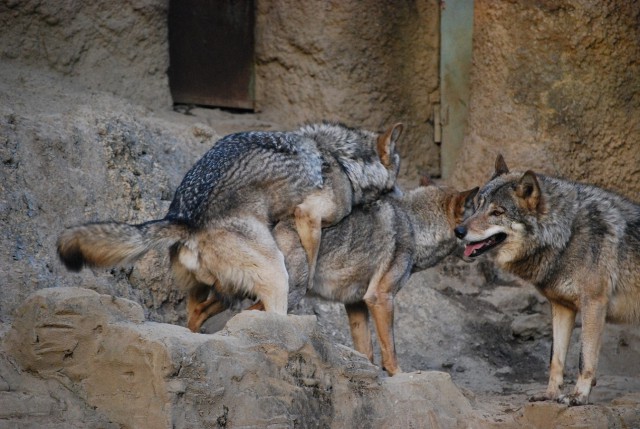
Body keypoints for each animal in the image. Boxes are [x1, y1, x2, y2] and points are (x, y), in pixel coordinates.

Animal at [57, 120, 402, 318]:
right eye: (399, 167)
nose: (400, 191)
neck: (342, 160)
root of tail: (183, 218)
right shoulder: (309, 214)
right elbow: (313, 256)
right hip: (276, 274)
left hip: (206, 289)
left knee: (195, 315)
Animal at [189, 177, 476, 374]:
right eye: (477, 213)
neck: (415, 226)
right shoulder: (380, 298)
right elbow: (390, 350)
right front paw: (399, 376)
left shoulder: (356, 304)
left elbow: (367, 351)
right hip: (291, 295)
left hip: (234, 295)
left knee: (199, 312)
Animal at [452, 155, 640, 404]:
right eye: (478, 205)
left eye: (497, 212)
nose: (458, 231)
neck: (567, 235)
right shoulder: (562, 307)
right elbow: (555, 358)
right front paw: (550, 394)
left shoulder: (594, 304)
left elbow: (584, 358)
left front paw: (578, 396)